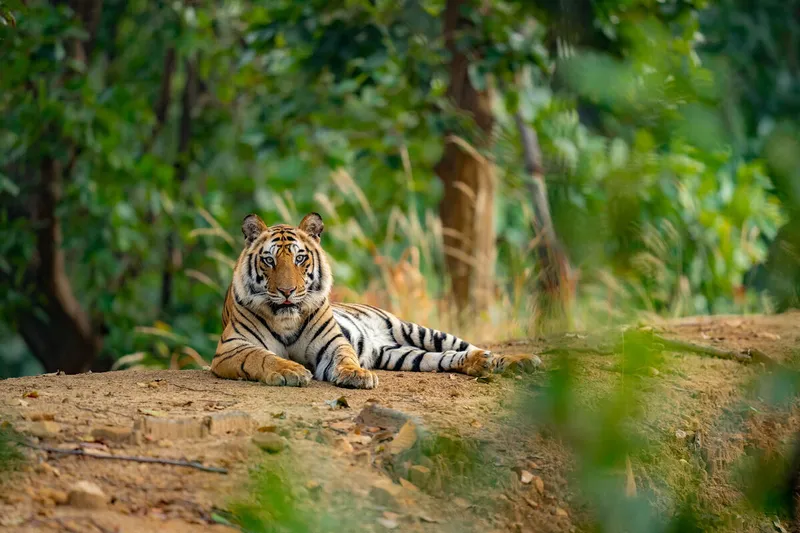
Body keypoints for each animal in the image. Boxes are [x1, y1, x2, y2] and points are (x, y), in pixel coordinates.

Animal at [211, 212, 539, 389]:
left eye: (300, 258)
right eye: (269, 260)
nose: (287, 291)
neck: (286, 319)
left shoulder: (332, 344)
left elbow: (344, 357)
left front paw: (357, 375)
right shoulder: (231, 348)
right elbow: (263, 357)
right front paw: (290, 371)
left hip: (418, 331)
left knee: (467, 346)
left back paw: (517, 361)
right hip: (401, 355)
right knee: (445, 358)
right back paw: (480, 365)